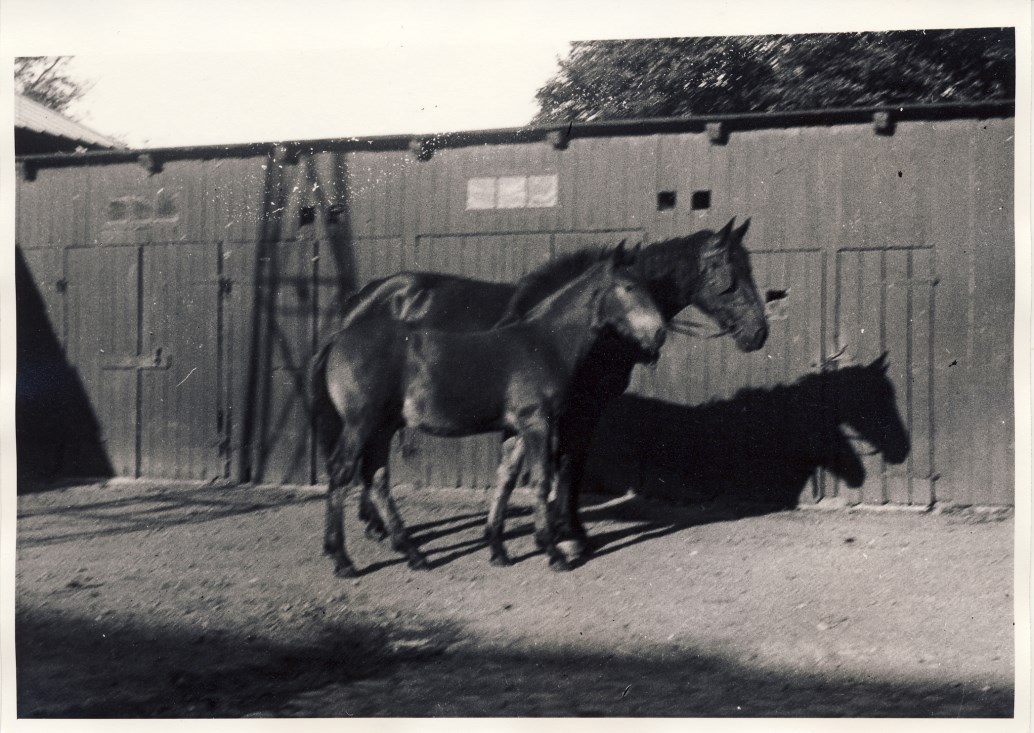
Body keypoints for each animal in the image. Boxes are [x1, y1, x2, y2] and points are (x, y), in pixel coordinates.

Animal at [310, 249, 661, 574]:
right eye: (628, 287)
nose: (658, 333)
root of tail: (337, 338)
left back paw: (412, 553)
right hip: (361, 425)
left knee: (378, 479)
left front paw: (498, 549)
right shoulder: (537, 422)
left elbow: (505, 479)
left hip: (382, 428)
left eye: (649, 285)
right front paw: (553, 551)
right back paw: (342, 559)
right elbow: (541, 480)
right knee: (342, 472)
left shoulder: (516, 429)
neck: (543, 343)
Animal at [335, 217, 773, 562]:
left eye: (752, 269)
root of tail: (366, 297)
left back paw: (377, 526)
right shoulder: (575, 410)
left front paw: (562, 531)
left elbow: (563, 467)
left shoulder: (581, 411)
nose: (759, 333)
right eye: (731, 280)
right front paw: (570, 534)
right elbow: (567, 465)